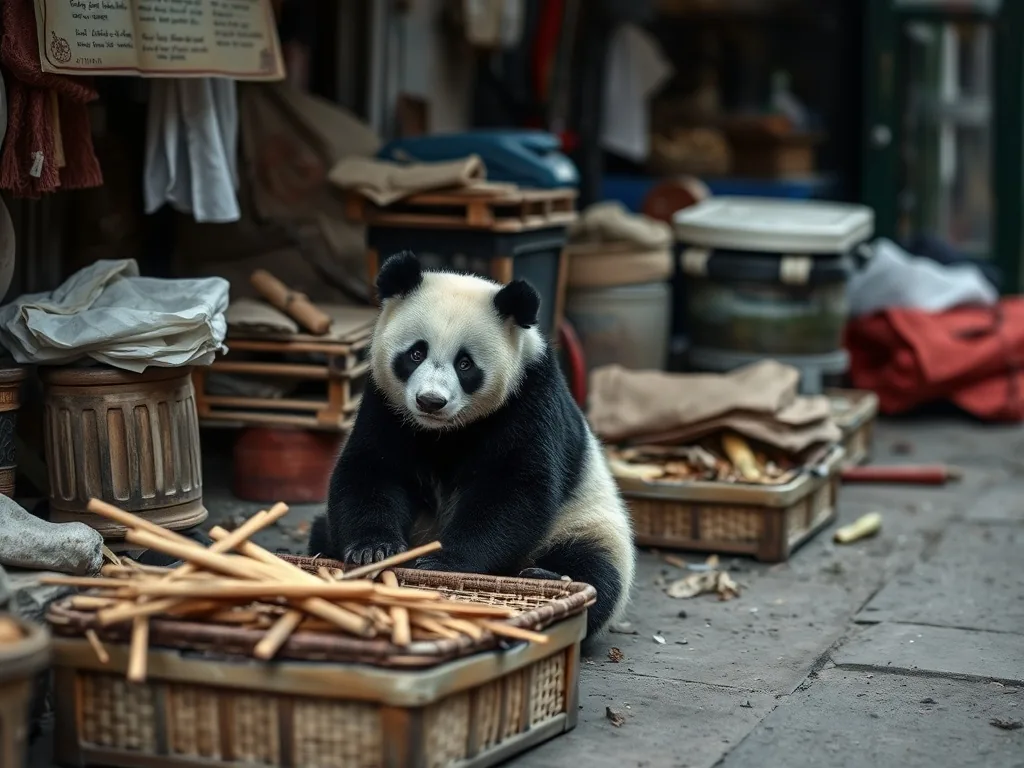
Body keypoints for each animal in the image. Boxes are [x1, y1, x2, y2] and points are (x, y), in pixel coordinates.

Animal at [308, 251, 635, 643]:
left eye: (465, 363)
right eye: (416, 353)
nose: (430, 401)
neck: (443, 432)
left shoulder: (529, 399)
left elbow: (514, 488)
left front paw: (442, 561)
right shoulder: (385, 405)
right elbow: (372, 469)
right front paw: (374, 551)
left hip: (586, 521)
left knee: (596, 568)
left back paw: (547, 576)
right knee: (321, 531)